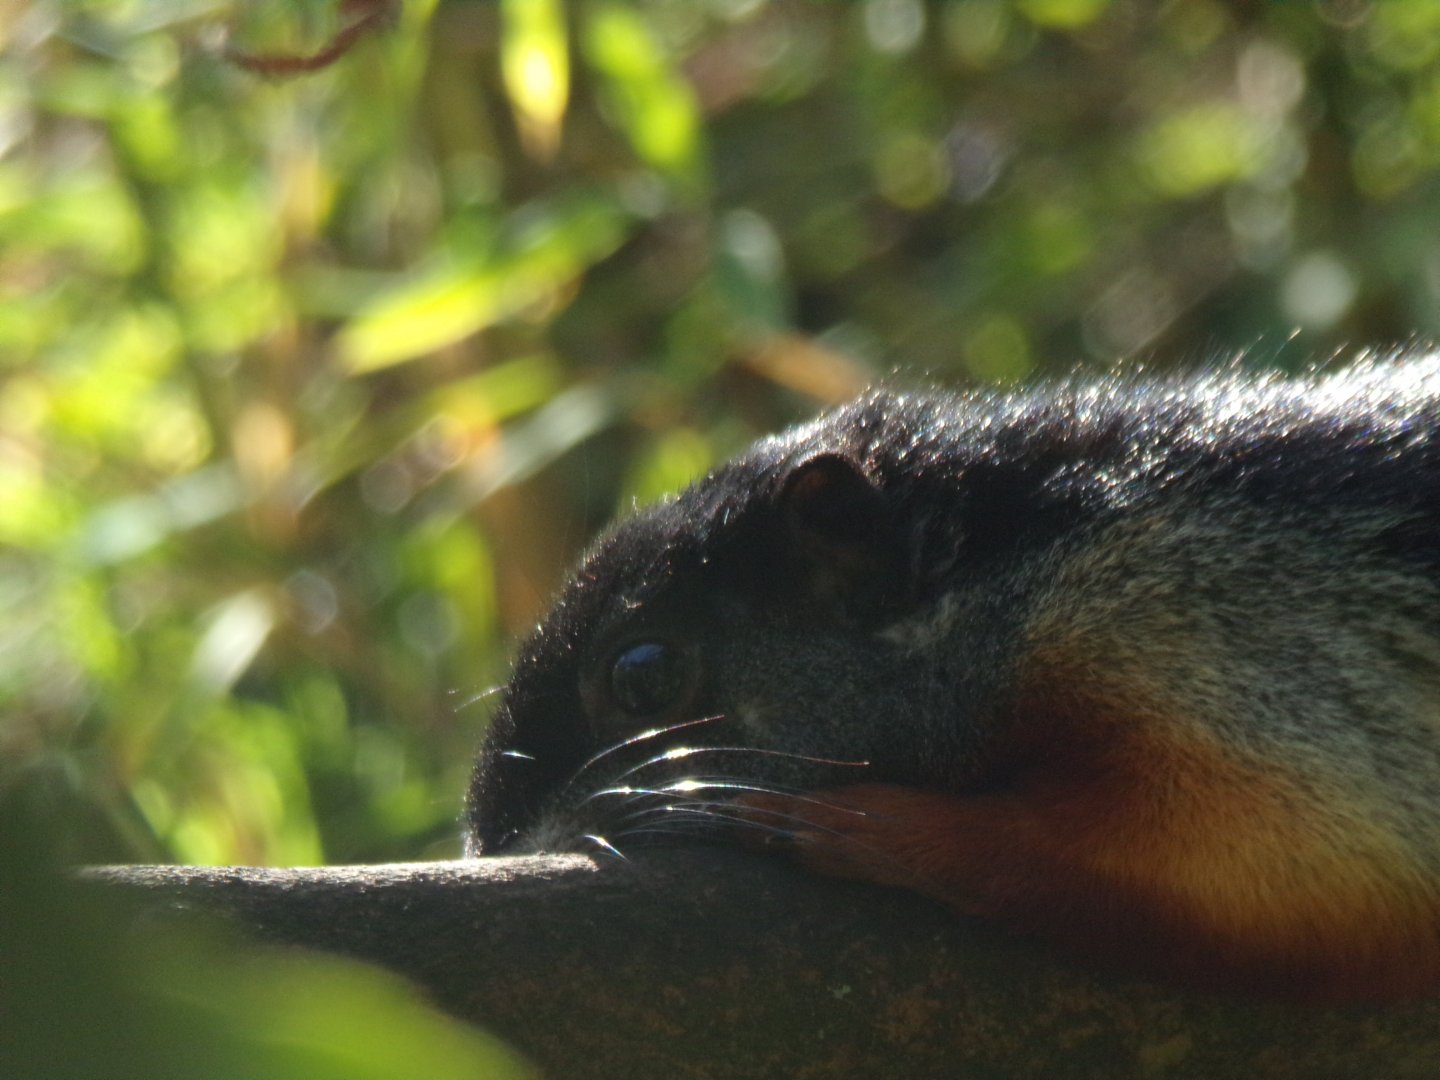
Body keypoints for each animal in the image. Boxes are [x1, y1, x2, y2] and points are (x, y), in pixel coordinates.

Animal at [465, 356, 1440, 1003]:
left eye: (643, 675)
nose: (490, 849)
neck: (1016, 569)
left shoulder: (1223, 668)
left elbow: (1223, 864)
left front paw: (856, 824)